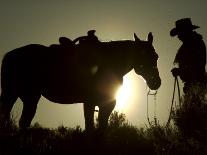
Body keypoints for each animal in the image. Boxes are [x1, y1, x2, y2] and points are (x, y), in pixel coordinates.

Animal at [0, 32, 161, 131]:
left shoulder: (106, 104)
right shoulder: (90, 102)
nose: (156, 82)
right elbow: (90, 129)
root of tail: (9, 55)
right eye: (144, 55)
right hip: (21, 96)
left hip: (25, 97)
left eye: (156, 56)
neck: (108, 62)